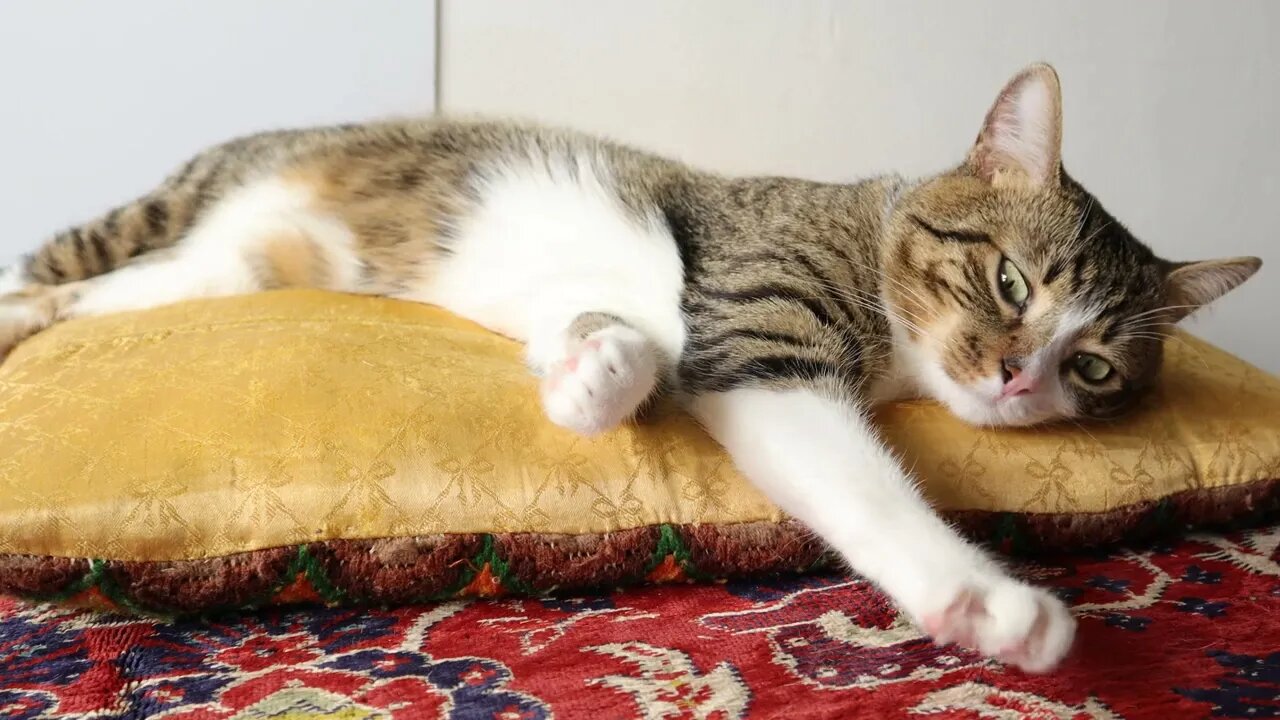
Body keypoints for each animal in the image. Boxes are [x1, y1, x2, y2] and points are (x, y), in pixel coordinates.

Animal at [0, 64, 1259, 671]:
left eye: (1091, 366)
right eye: (1009, 283)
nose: (1013, 377)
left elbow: (618, 333)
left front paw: (589, 378)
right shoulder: (761, 334)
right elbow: (857, 485)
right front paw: (987, 601)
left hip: (226, 267)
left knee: (89, 296)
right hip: (174, 222)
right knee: (49, 278)